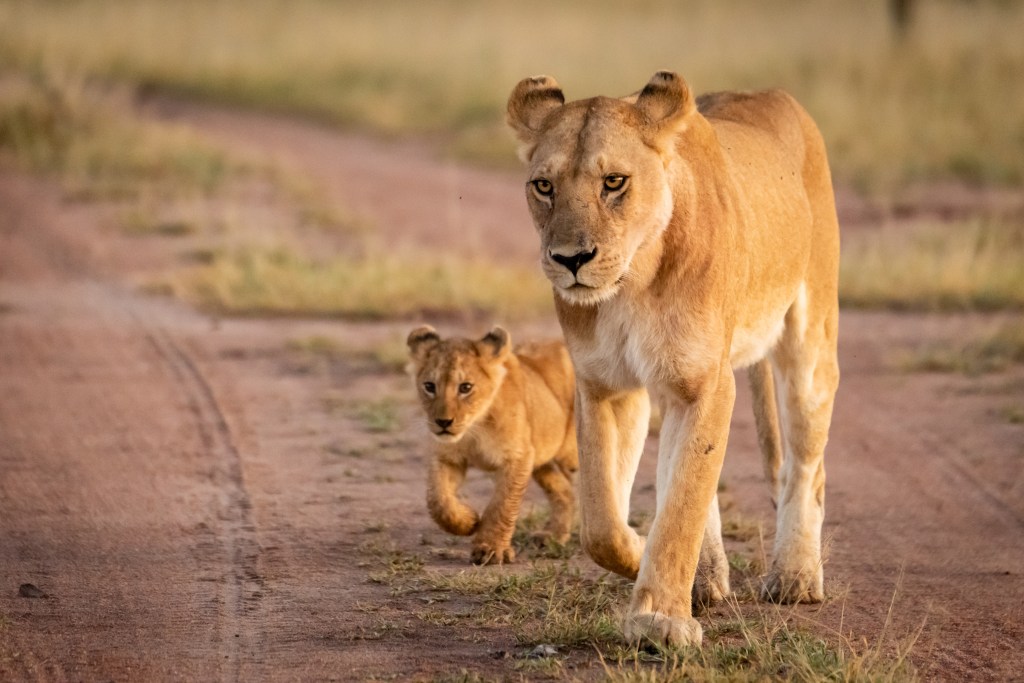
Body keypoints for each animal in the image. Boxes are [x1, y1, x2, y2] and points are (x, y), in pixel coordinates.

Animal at [407, 325, 578, 565]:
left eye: (465, 387)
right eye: (430, 386)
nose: (443, 422)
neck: (475, 428)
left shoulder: (517, 457)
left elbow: (503, 504)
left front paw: (490, 549)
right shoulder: (447, 457)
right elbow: (438, 500)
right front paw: (468, 522)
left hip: (573, 453)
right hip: (542, 461)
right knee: (564, 490)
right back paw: (553, 535)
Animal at [507, 71, 840, 646]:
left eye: (614, 182)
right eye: (544, 186)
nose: (571, 259)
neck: (632, 284)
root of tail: (772, 94)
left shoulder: (706, 383)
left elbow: (682, 503)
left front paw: (659, 618)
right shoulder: (605, 385)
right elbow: (603, 522)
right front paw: (642, 556)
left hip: (810, 346)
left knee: (804, 464)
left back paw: (795, 576)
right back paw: (705, 580)